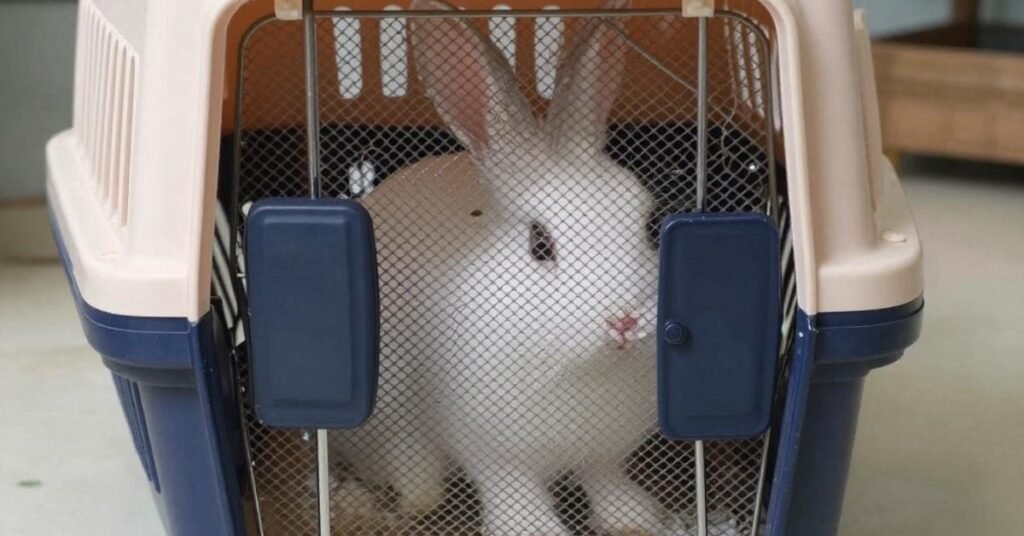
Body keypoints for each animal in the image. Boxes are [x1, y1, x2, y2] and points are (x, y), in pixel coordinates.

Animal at [332, 1, 664, 534]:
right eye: (540, 243)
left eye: (648, 222)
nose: (625, 321)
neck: (577, 367)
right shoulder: (491, 450)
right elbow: (512, 489)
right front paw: (534, 528)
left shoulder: (603, 450)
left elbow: (603, 476)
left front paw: (633, 518)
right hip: (391, 415)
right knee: (413, 466)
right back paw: (409, 504)